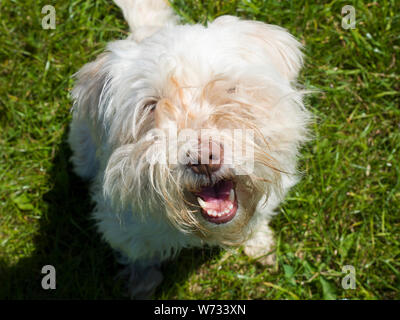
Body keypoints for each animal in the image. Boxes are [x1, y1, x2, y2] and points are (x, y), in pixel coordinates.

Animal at [69, 0, 310, 298]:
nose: (203, 160)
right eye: (151, 106)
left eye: (230, 90)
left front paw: (259, 244)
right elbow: (139, 256)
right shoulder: (124, 226)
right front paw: (142, 282)